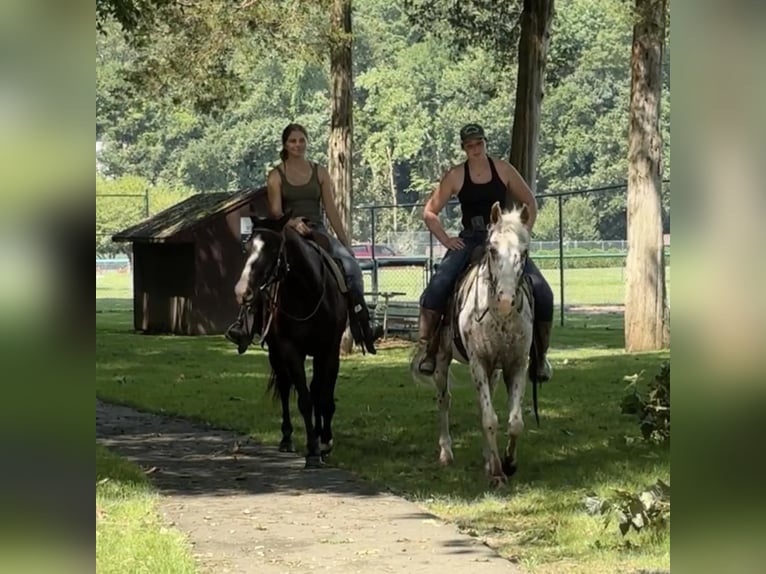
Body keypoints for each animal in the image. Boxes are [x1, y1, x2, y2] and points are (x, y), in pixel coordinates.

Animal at [236, 215, 350, 468]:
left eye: (272, 250)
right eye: (246, 248)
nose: (242, 292)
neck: (307, 293)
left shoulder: (329, 350)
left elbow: (323, 397)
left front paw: (324, 440)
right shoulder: (290, 350)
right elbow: (305, 399)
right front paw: (313, 450)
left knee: (316, 390)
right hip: (276, 354)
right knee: (285, 387)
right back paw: (287, 438)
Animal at [414, 205, 536, 488]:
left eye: (524, 251)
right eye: (493, 249)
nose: (505, 300)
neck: (499, 317)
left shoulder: (516, 364)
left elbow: (514, 421)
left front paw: (506, 462)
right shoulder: (478, 362)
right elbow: (490, 419)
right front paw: (497, 472)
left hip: (494, 370)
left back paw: (487, 456)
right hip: (442, 362)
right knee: (444, 401)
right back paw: (446, 453)